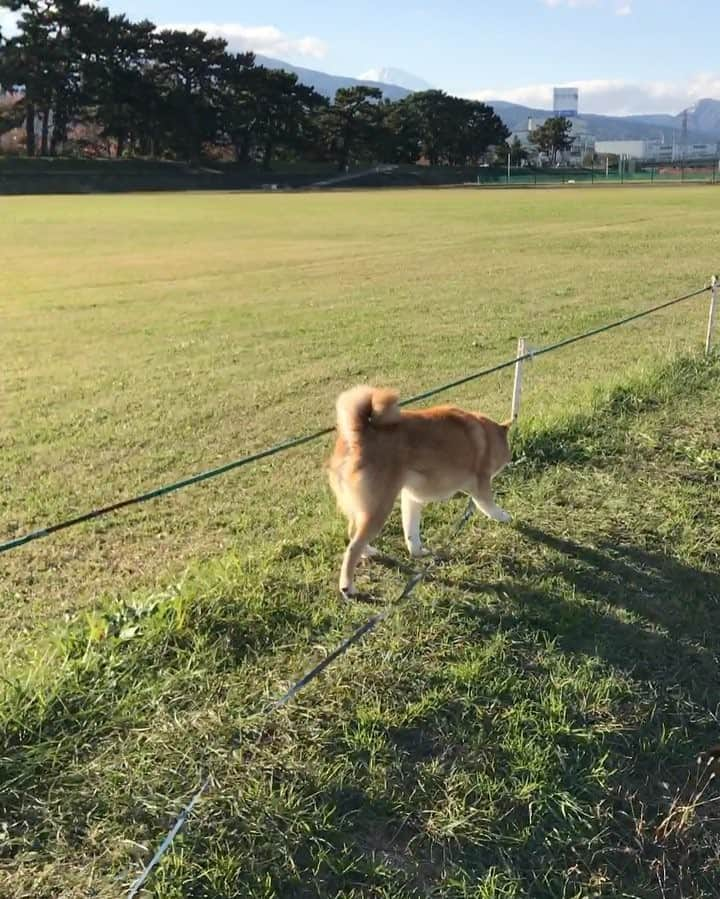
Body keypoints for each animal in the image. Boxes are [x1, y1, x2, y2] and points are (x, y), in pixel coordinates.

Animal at [326, 386, 512, 596]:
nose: (510, 459)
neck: (487, 436)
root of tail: (357, 434)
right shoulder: (480, 483)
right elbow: (490, 506)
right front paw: (505, 517)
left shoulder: (411, 498)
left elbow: (411, 532)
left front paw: (418, 552)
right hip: (379, 507)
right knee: (352, 548)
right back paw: (348, 587)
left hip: (362, 508)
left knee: (352, 534)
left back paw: (369, 552)